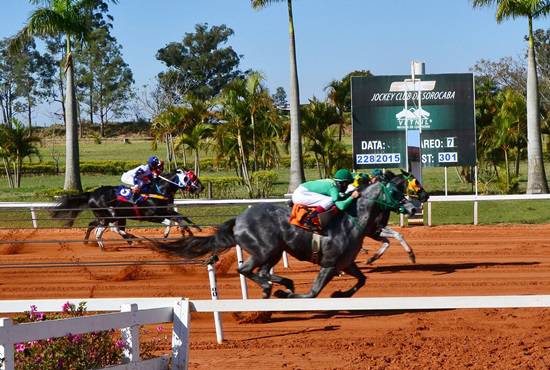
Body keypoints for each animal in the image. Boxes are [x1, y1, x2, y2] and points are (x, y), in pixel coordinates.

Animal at [50, 169, 203, 247]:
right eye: (191, 177)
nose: (201, 187)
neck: (158, 190)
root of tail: (91, 193)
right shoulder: (152, 214)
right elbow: (172, 220)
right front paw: (183, 231)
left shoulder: (165, 210)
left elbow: (178, 217)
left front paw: (192, 229)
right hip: (109, 216)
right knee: (109, 228)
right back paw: (130, 238)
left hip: (109, 216)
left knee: (94, 224)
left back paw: (88, 241)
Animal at [153, 172, 430, 300]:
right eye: (397, 191)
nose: (415, 207)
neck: (353, 220)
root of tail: (239, 219)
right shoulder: (330, 264)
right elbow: (313, 293)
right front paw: (287, 294)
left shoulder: (346, 263)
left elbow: (362, 279)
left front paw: (342, 293)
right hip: (265, 249)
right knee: (247, 269)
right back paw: (272, 288)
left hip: (276, 250)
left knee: (262, 271)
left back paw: (280, 282)